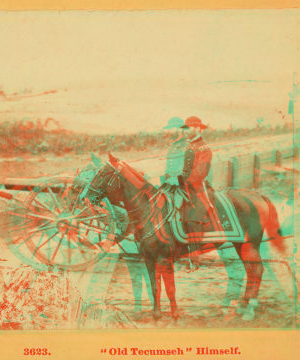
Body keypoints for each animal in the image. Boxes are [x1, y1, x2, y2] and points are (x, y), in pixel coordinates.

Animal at [81, 155, 286, 320]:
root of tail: (257, 195)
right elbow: (155, 286)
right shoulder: (149, 258)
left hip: (249, 245)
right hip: (240, 245)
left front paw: (174, 314)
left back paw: (248, 311)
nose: (85, 197)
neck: (151, 211)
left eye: (103, 173)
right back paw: (242, 308)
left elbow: (169, 287)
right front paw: (156, 314)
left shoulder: (164, 258)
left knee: (256, 271)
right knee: (251, 271)